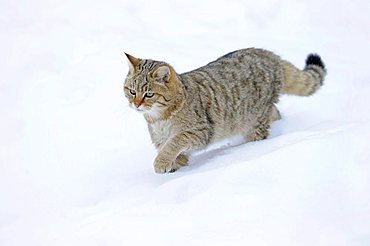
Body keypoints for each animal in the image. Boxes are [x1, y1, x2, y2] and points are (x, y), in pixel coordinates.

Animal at [123, 48, 326, 173]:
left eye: (149, 94)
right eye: (132, 91)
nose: (136, 104)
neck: (159, 119)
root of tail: (268, 54)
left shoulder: (199, 131)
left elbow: (173, 143)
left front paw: (162, 163)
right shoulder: (161, 138)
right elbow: (173, 151)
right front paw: (176, 166)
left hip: (254, 121)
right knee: (276, 113)